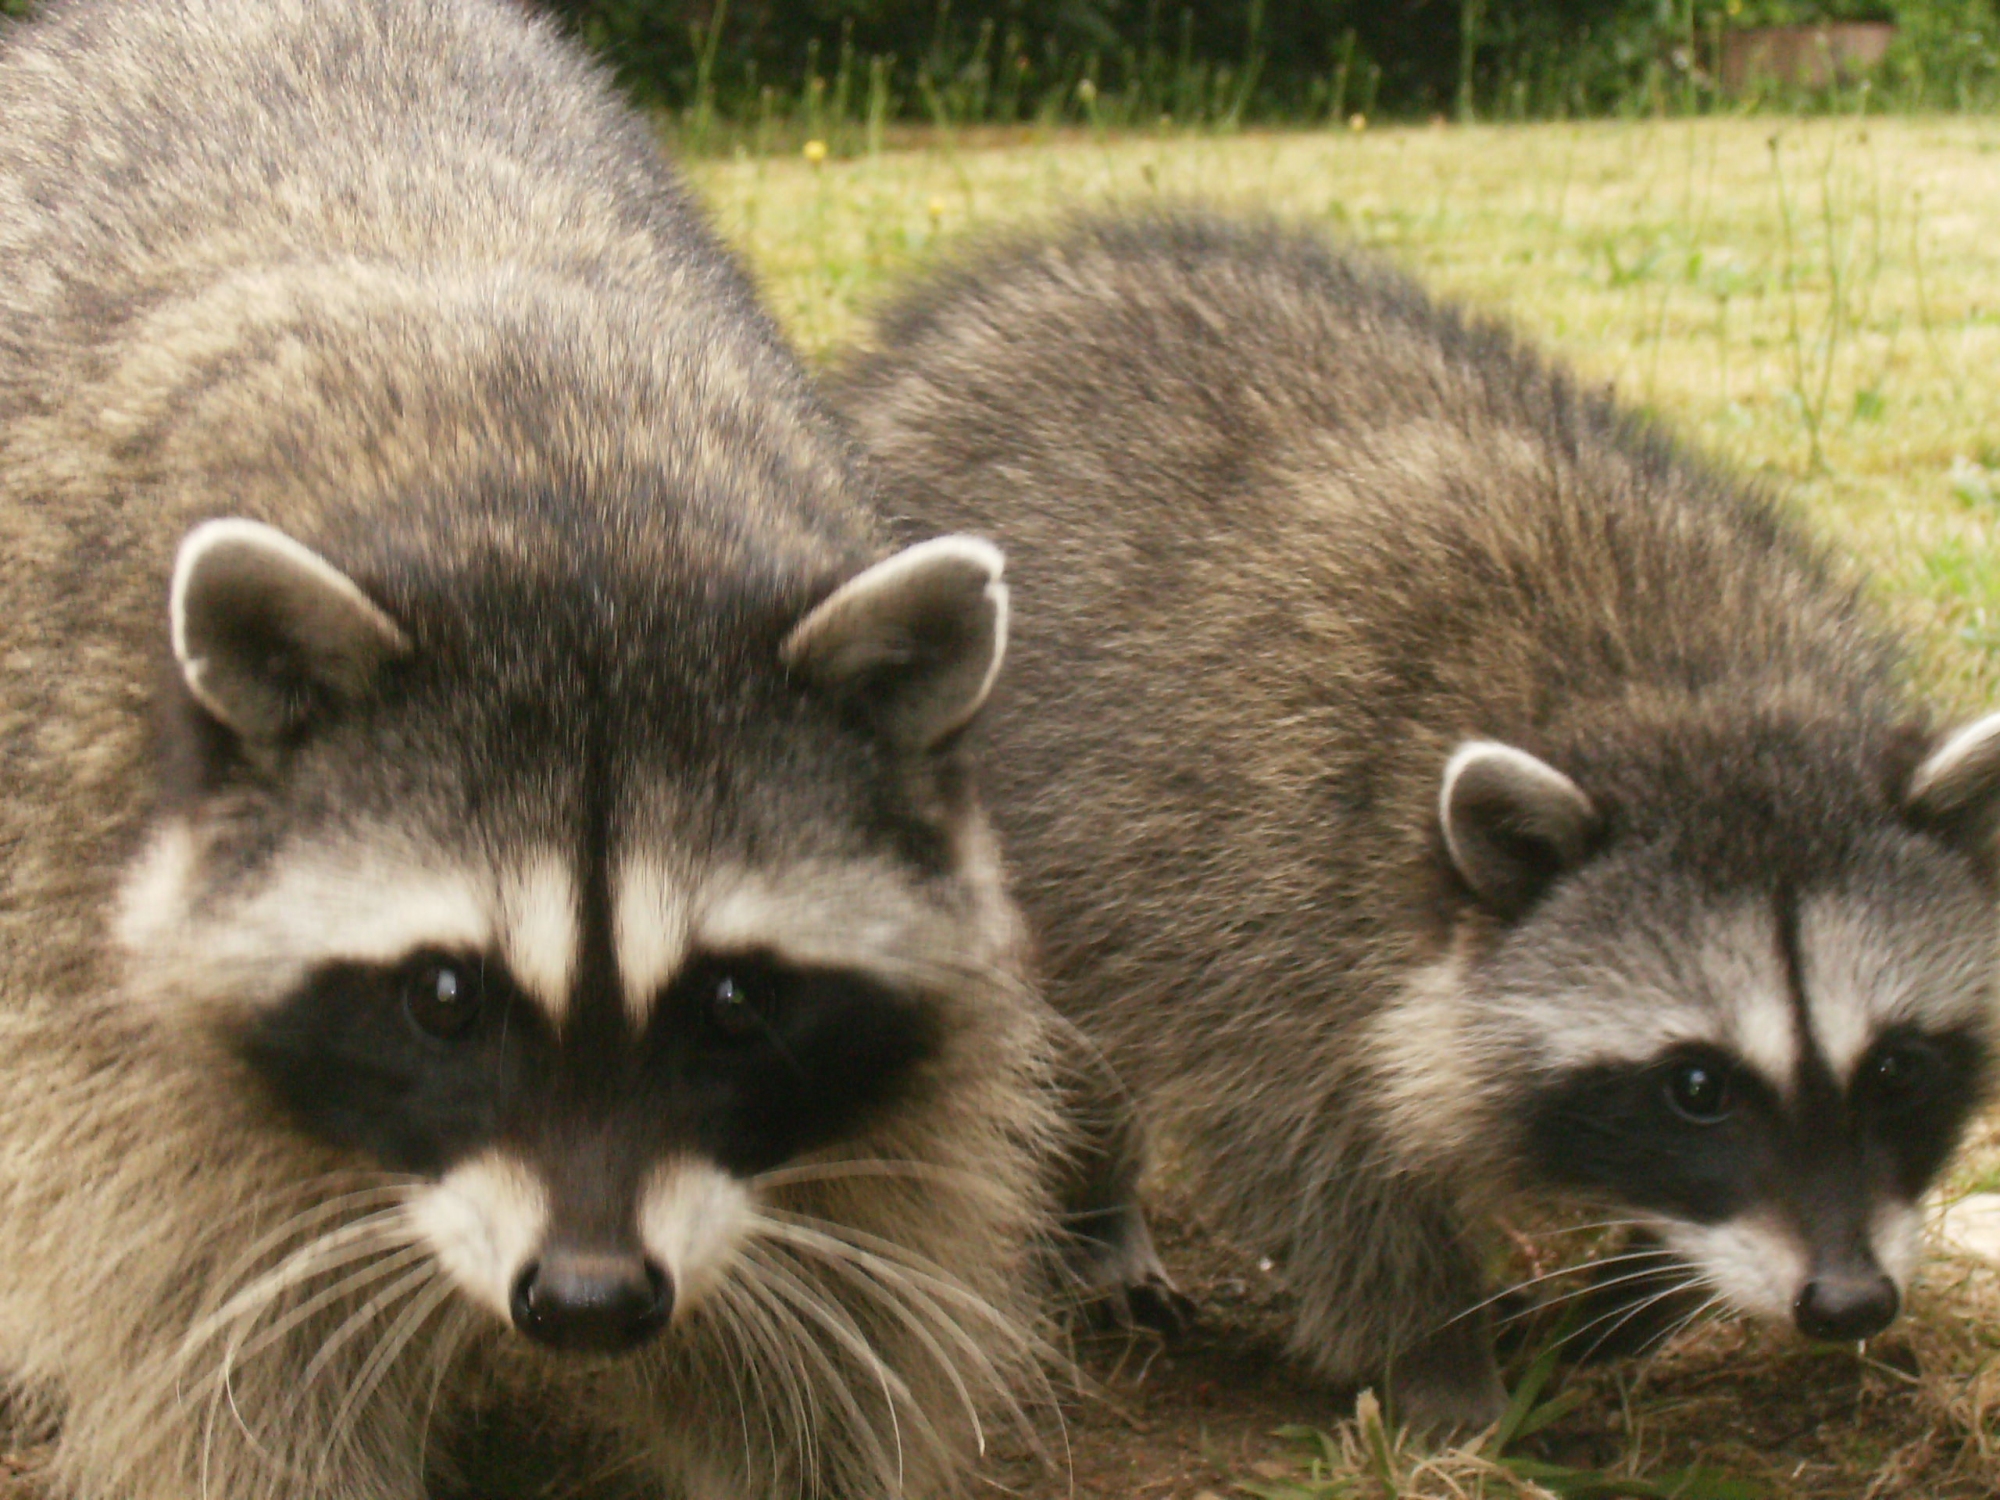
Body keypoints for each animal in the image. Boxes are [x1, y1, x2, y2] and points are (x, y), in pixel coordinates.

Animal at [0, 2, 1056, 1497]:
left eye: (735, 998)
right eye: (444, 996)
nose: (590, 1301)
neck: (569, 515)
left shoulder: (884, 1139)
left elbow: (823, 1375)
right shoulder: (105, 1039)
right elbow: (228, 1387)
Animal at [832, 211, 2000, 1432]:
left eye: (1899, 1067)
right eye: (1696, 1087)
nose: (1849, 1303)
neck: (1675, 694)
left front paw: (1635, 1298)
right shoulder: (1268, 883)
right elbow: (1318, 1156)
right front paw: (1442, 1367)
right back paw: (1097, 1208)